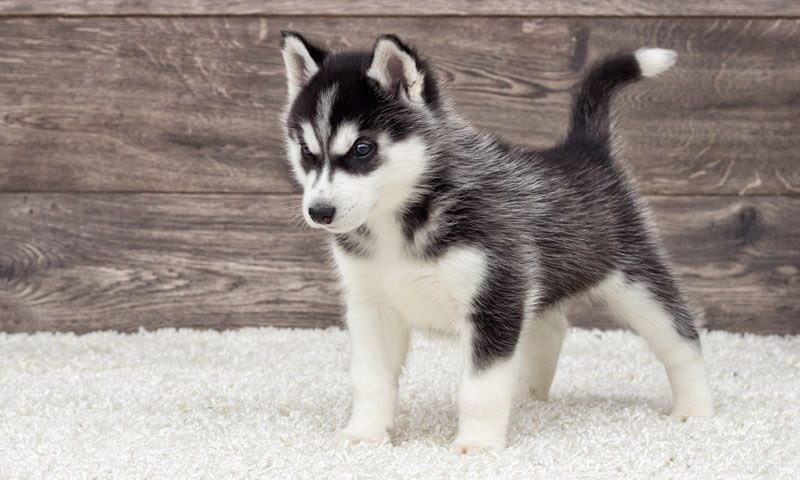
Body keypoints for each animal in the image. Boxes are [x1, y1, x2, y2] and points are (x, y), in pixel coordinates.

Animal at [280, 31, 712, 452]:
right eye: (306, 151)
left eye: (362, 148)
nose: (319, 212)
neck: (400, 222)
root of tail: (584, 149)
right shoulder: (372, 308)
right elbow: (370, 378)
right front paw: (366, 434)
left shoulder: (494, 301)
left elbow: (480, 388)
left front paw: (477, 445)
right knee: (551, 327)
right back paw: (526, 397)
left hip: (635, 281)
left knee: (682, 338)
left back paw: (695, 408)